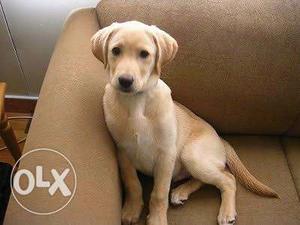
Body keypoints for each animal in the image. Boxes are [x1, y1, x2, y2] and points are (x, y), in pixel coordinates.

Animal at [90, 21, 278, 225]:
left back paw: (226, 212)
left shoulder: (166, 153)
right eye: (115, 50)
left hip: (191, 154)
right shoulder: (123, 151)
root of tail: (221, 140)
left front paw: (157, 219)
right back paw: (181, 192)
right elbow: (133, 184)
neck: (136, 102)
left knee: (228, 178)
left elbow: (159, 193)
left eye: (144, 54)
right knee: (207, 178)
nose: (125, 81)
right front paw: (132, 209)